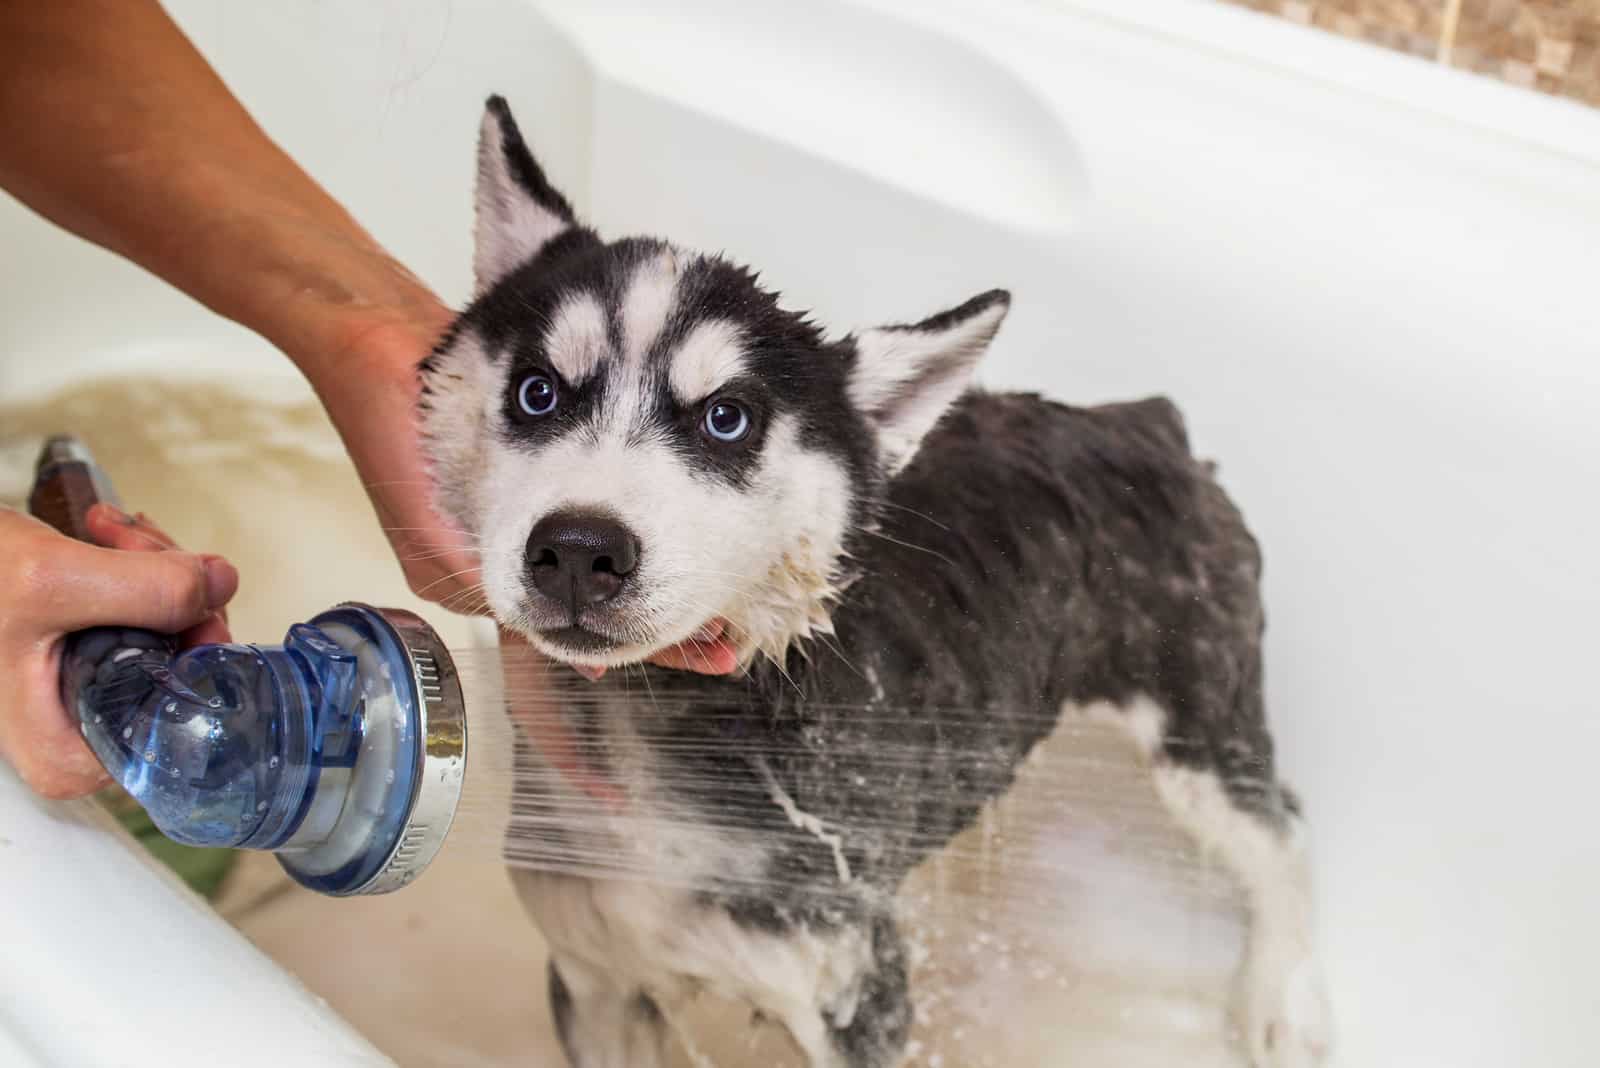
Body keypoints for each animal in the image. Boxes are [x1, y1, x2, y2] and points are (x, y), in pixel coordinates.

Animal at [419, 93, 1331, 1068]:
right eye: (538, 392)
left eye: (727, 419)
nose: (580, 549)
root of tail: (1146, 422)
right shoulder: (595, 980)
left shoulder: (860, 984)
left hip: (1197, 721)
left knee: (1279, 827)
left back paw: (1279, 997)